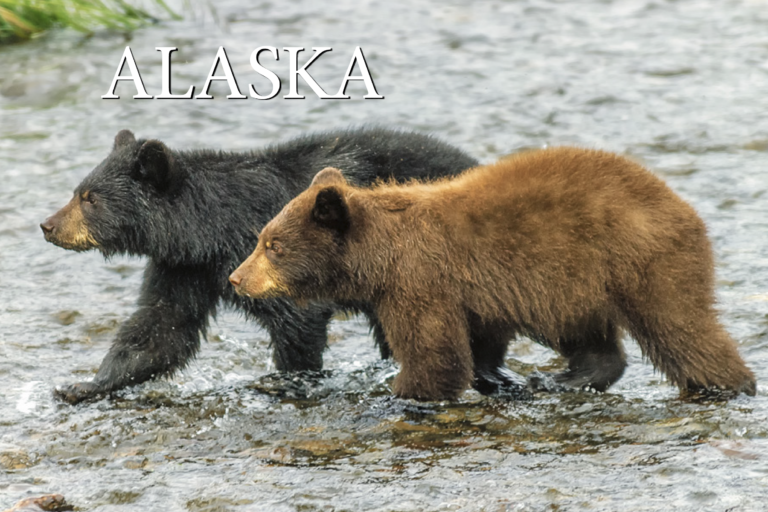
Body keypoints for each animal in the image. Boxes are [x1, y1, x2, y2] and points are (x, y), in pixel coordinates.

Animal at [41, 126, 499, 404]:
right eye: (78, 191)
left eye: (90, 199)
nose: (47, 225)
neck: (206, 229)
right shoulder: (185, 268)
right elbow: (160, 326)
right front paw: (80, 385)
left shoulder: (267, 252)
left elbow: (297, 321)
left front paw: (288, 380)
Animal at [229, 147, 757, 401]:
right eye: (261, 237)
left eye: (272, 245)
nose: (236, 278)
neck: (379, 257)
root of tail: (683, 206)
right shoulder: (475, 293)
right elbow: (479, 340)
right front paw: (496, 377)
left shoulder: (419, 281)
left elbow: (433, 350)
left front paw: (405, 392)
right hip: (579, 286)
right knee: (593, 340)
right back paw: (561, 379)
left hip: (637, 263)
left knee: (681, 328)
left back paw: (727, 385)